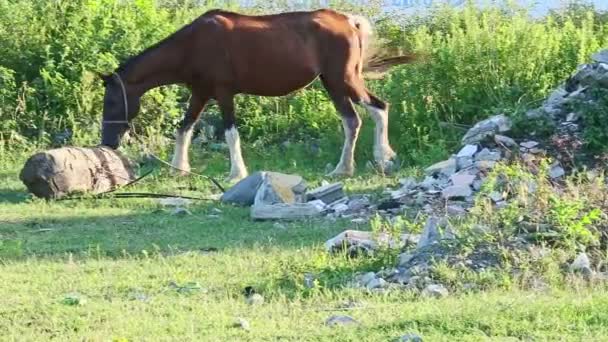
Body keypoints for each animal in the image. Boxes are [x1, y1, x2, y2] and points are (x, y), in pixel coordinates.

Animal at [100, 8, 416, 182]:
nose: (108, 143)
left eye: (113, 101)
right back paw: (343, 169)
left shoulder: (223, 93)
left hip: (344, 80)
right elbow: (184, 128)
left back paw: (383, 157)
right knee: (352, 121)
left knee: (378, 108)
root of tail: (349, 21)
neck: (192, 45)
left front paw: (236, 172)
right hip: (333, 84)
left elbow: (230, 133)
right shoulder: (200, 93)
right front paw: (180, 168)